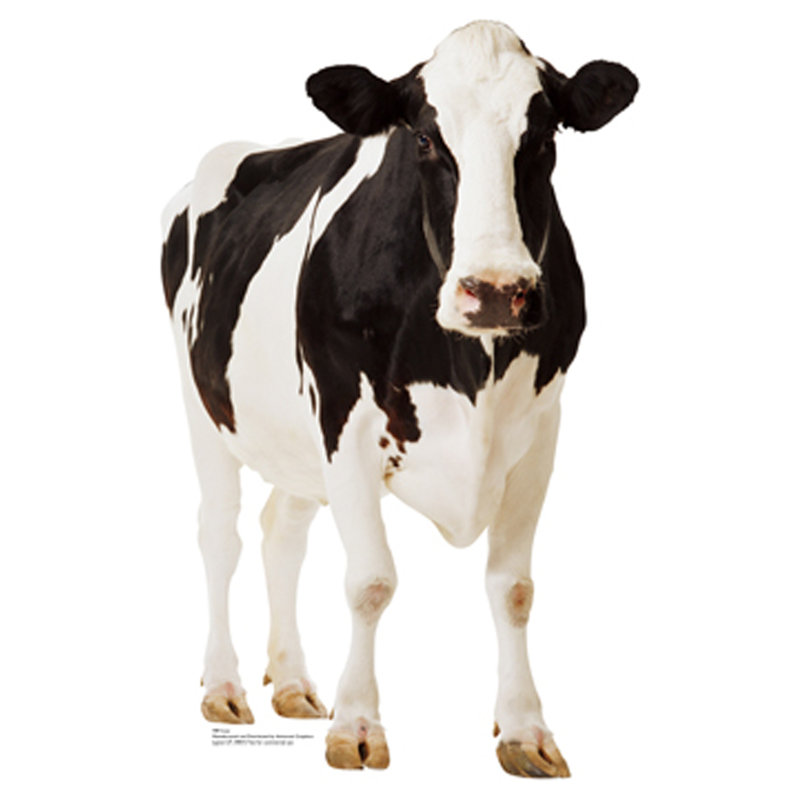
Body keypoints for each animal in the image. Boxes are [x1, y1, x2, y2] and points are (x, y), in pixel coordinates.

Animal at [161, 20, 637, 777]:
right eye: (423, 139)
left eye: (544, 136)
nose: (496, 290)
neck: (469, 364)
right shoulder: (344, 420)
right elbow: (370, 581)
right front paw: (357, 725)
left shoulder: (541, 430)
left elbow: (514, 587)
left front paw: (525, 730)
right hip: (202, 402)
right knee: (219, 533)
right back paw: (223, 686)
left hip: (295, 439)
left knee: (281, 532)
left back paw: (291, 682)